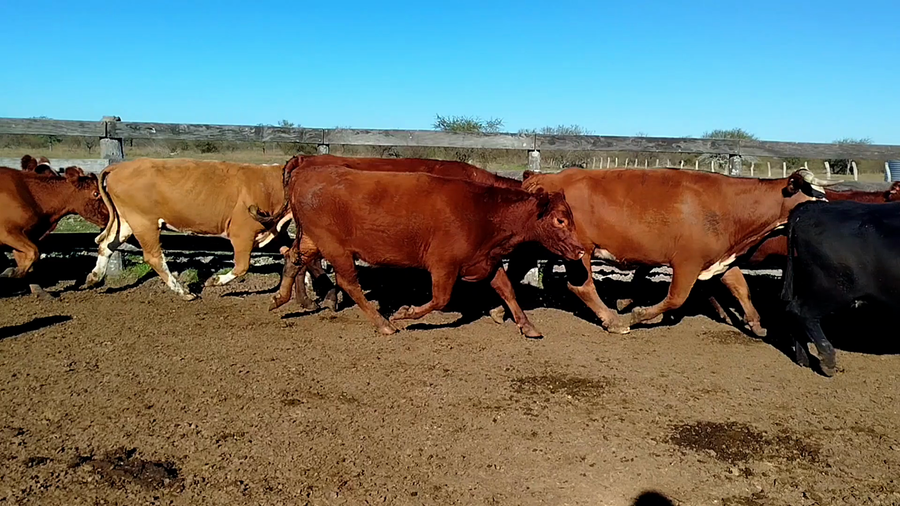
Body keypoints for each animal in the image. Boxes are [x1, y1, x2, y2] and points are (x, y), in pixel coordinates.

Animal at [1, 161, 108, 295]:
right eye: (96, 193)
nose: (110, 214)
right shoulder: (8, 233)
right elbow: (33, 252)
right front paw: (9, 273)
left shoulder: (24, 236)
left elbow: (28, 262)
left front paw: (40, 292)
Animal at [83, 158, 288, 299]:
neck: (269, 186)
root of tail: (119, 166)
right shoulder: (242, 233)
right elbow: (242, 266)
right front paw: (214, 281)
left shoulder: (277, 232)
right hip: (144, 223)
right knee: (154, 257)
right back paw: (183, 292)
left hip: (125, 221)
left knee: (106, 244)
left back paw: (93, 278)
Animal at [261, 165, 584, 337]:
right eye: (560, 220)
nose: (580, 250)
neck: (484, 212)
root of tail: (306, 173)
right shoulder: (443, 265)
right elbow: (440, 299)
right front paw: (405, 312)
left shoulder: (487, 261)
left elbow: (508, 291)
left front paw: (527, 326)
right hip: (335, 247)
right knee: (348, 282)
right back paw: (383, 324)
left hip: (311, 240)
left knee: (292, 259)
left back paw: (279, 298)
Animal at [520, 167, 835, 334]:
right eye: (812, 199)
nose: (833, 213)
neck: (726, 204)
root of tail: (547, 177)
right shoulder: (687, 263)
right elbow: (675, 299)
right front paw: (636, 315)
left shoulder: (721, 259)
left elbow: (741, 288)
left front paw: (756, 323)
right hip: (582, 251)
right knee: (582, 287)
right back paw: (613, 321)